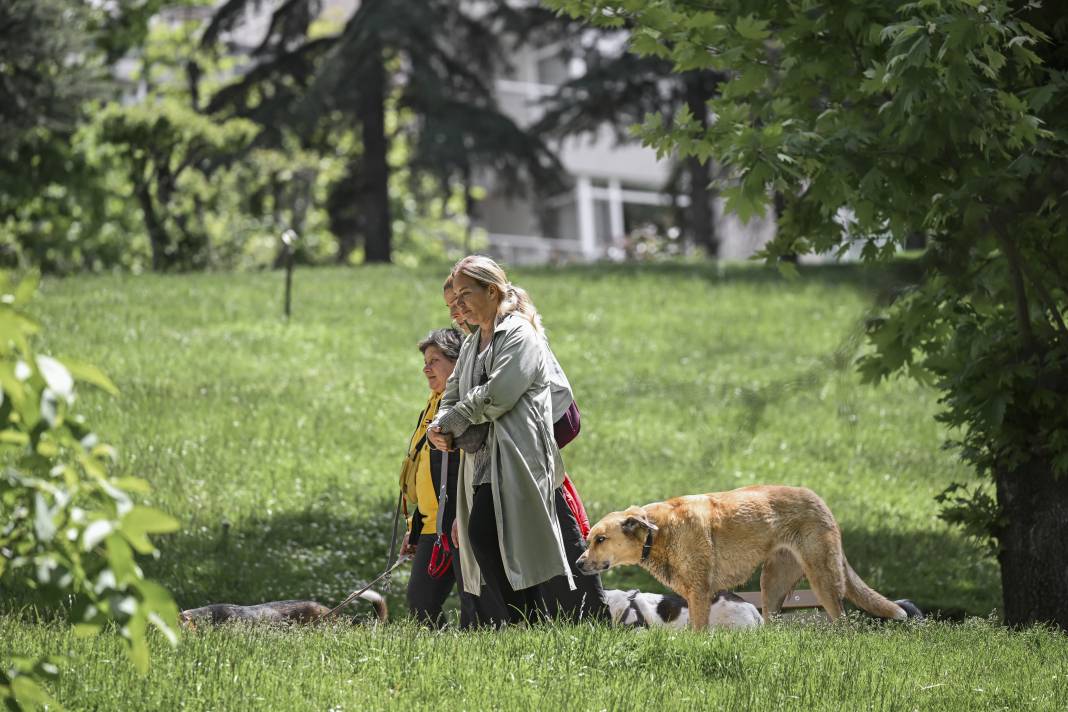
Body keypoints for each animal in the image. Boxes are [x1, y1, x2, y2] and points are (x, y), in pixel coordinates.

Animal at [580, 484, 922, 627]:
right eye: (588, 540)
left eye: (600, 539)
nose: (579, 563)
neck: (659, 531)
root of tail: (819, 500)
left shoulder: (700, 592)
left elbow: (697, 631)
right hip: (771, 584)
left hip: (823, 578)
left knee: (843, 623)